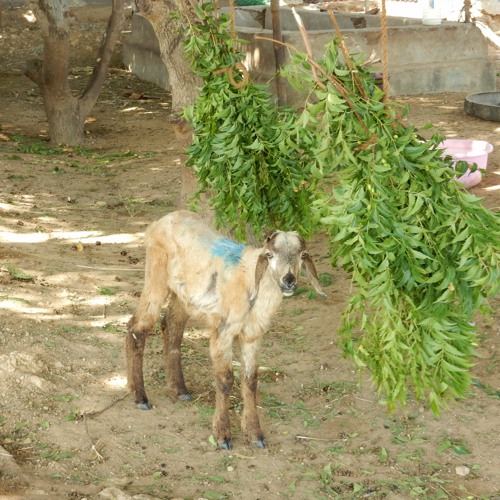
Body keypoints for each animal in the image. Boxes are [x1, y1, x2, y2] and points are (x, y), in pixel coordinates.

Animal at [127, 210, 326, 450]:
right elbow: (225, 379)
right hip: (156, 274)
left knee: (171, 325)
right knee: (137, 327)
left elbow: (250, 380)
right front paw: (222, 436)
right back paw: (140, 397)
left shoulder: (252, 335)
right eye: (269, 255)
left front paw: (255, 434)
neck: (251, 282)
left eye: (302, 255)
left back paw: (180, 390)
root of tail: (161, 220)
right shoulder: (223, 330)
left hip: (185, 295)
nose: (289, 280)